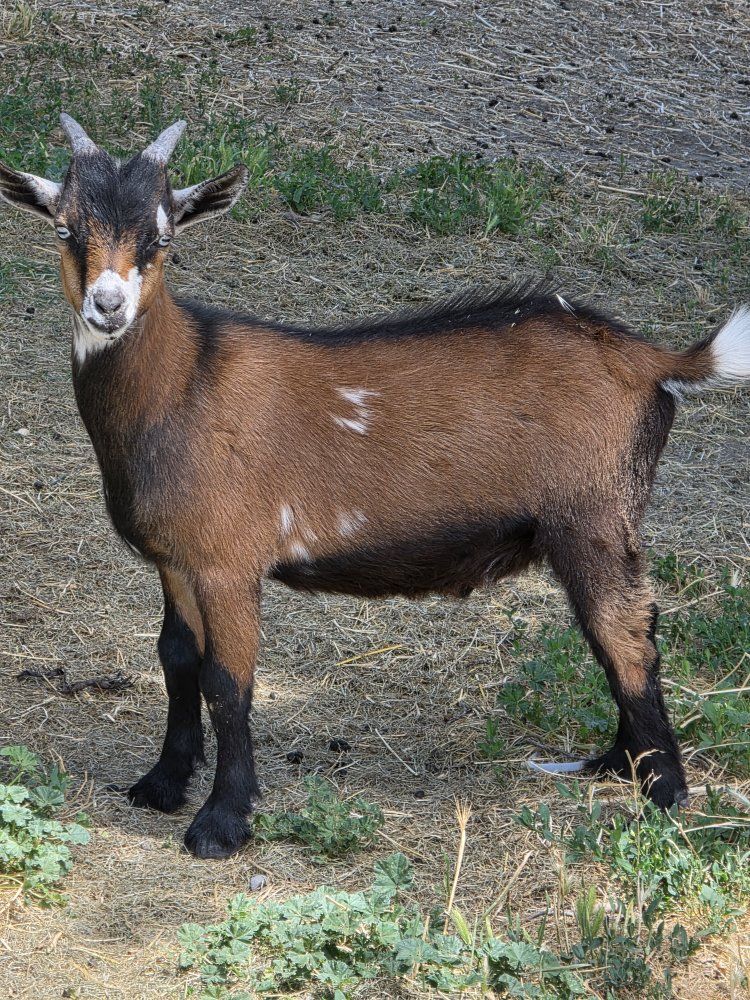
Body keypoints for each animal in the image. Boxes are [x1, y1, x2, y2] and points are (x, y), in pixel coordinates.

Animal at [1, 115, 748, 859]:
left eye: (162, 238)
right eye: (65, 229)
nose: (108, 306)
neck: (183, 381)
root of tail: (652, 359)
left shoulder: (227, 561)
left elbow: (229, 681)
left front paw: (222, 823)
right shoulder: (176, 559)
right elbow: (177, 660)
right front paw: (160, 785)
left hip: (593, 517)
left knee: (626, 635)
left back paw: (663, 794)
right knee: (623, 631)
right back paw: (616, 765)